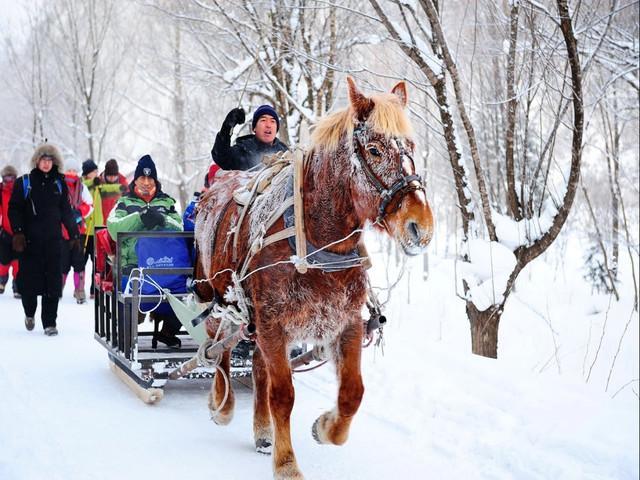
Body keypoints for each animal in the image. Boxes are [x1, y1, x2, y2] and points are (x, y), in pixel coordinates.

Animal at [194, 77, 436, 478]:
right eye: (373, 149)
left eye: (411, 147)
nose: (422, 226)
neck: (316, 243)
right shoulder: (272, 321)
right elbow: (283, 394)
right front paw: (286, 462)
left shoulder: (346, 321)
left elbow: (352, 393)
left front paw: (325, 427)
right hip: (217, 294)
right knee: (217, 345)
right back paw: (221, 404)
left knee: (256, 364)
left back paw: (262, 431)